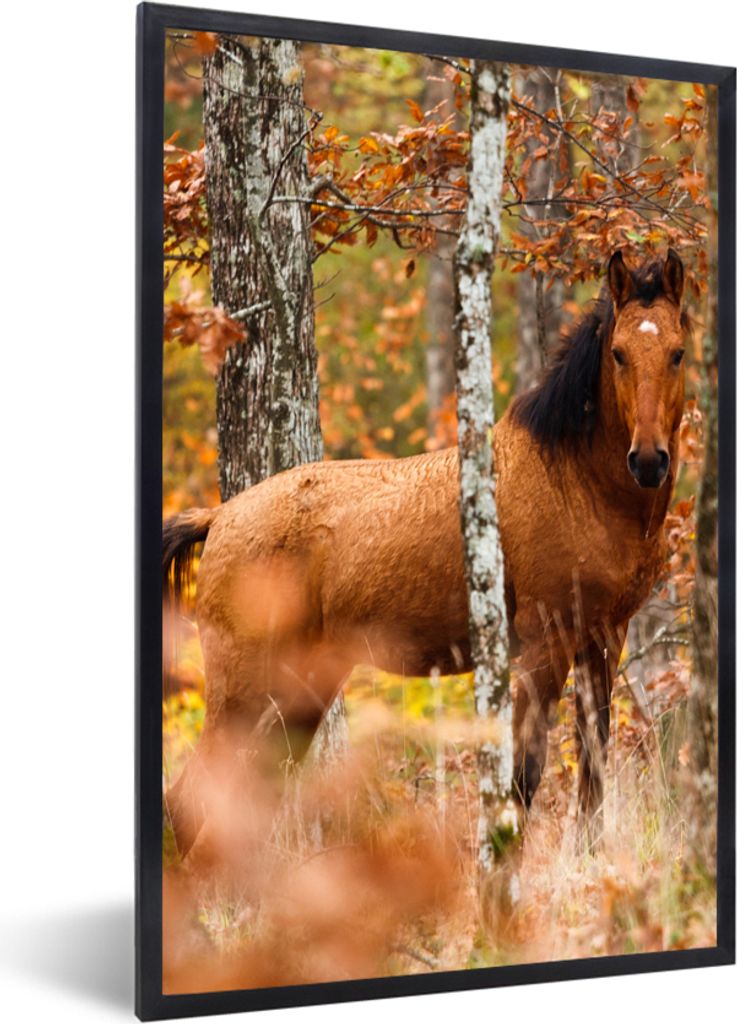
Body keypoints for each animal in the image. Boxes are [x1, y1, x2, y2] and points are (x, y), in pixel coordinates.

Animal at [163, 247, 688, 858]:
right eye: (619, 354)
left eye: (677, 352)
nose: (648, 460)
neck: (575, 481)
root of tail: (220, 517)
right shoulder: (545, 643)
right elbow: (523, 776)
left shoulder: (604, 638)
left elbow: (593, 770)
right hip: (242, 689)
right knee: (190, 801)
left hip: (302, 687)